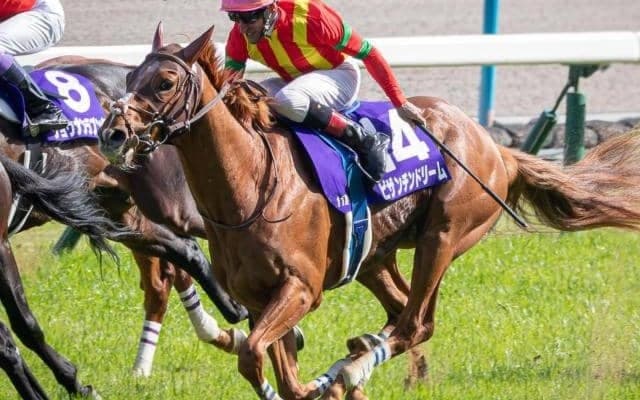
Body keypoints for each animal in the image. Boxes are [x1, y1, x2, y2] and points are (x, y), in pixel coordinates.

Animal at [99, 25, 640, 399]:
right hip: (374, 255)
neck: (249, 187)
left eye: (166, 81)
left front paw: (325, 385)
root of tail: (495, 148)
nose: (112, 133)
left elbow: (256, 357)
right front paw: (315, 382)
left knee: (417, 321)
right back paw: (363, 360)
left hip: (444, 236)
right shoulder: (258, 297)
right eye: (129, 75)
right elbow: (273, 365)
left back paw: (353, 368)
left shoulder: (301, 289)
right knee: (401, 310)